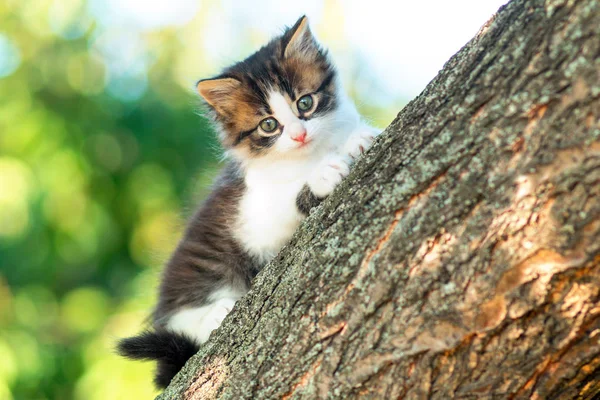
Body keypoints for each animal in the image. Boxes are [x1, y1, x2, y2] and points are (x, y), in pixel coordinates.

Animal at [118, 15, 380, 388]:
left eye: (305, 103)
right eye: (268, 125)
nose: (299, 135)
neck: (308, 154)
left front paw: (357, 139)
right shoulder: (251, 215)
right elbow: (285, 200)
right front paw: (322, 175)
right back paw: (217, 312)